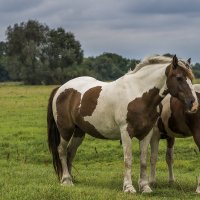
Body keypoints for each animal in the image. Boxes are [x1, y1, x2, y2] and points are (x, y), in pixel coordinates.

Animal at [47, 54, 198, 194]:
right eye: (179, 77)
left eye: (191, 78)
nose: (193, 103)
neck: (139, 94)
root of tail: (61, 89)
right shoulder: (126, 132)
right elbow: (128, 159)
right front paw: (129, 187)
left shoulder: (147, 133)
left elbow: (143, 160)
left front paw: (145, 187)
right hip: (65, 130)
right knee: (62, 151)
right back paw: (66, 180)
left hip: (79, 132)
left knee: (70, 152)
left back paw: (70, 178)